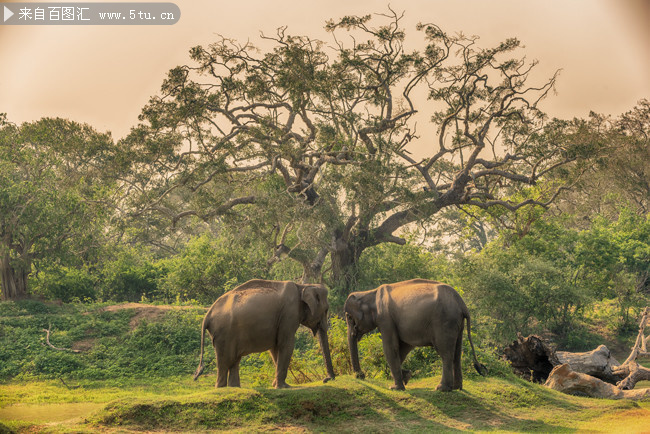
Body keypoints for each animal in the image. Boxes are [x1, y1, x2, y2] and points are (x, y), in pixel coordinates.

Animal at [192, 280, 334, 388]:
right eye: (326, 309)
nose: (326, 379)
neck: (303, 286)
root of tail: (207, 314)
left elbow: (275, 348)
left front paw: (276, 385)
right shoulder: (289, 313)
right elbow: (286, 344)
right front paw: (284, 387)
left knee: (234, 361)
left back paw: (235, 388)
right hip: (223, 333)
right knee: (224, 361)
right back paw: (222, 389)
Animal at [342, 280, 484, 392]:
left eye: (349, 317)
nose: (360, 375)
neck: (370, 293)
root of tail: (462, 303)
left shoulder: (385, 319)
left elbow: (390, 348)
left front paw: (395, 387)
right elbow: (403, 347)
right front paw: (406, 376)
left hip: (445, 322)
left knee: (446, 353)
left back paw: (442, 388)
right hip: (458, 324)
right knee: (457, 353)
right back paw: (456, 387)